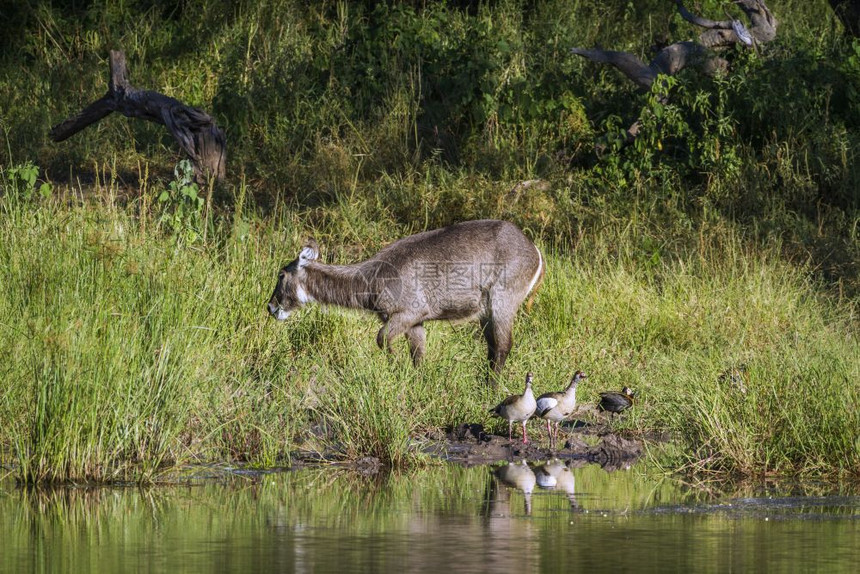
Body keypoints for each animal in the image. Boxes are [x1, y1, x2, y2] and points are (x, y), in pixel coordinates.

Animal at [268, 219, 544, 378]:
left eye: (281, 274)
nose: (271, 307)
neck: (371, 279)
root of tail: (533, 249)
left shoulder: (409, 313)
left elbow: (381, 339)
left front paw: (394, 365)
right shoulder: (416, 322)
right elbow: (418, 356)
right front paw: (416, 382)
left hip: (502, 302)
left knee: (503, 346)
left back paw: (491, 388)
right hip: (485, 312)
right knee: (492, 348)